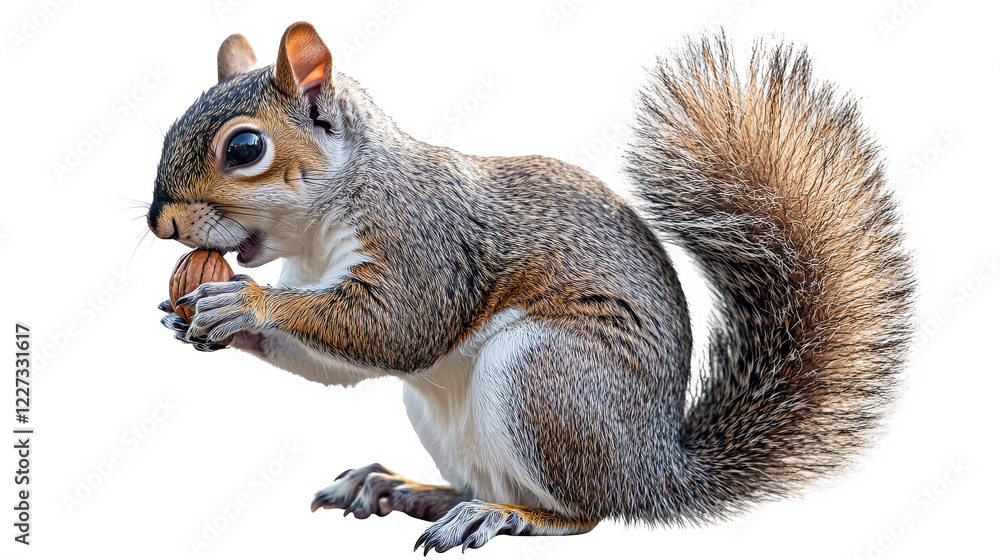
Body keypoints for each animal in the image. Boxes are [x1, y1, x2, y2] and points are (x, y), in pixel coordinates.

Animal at [148, 22, 914, 553]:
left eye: (245, 148)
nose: (161, 222)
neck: (323, 222)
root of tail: (653, 469)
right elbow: (332, 364)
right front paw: (198, 317)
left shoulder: (425, 243)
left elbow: (396, 328)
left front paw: (245, 301)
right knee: (473, 480)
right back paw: (403, 487)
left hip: (544, 380)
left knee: (581, 515)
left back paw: (503, 515)